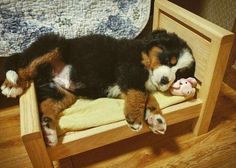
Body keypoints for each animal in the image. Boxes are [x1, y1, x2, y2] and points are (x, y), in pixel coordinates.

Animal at [0, 29, 195, 146]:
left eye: (179, 74)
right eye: (168, 59)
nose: (165, 80)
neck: (144, 59)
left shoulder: (125, 87)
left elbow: (149, 97)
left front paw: (156, 118)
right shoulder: (129, 70)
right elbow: (141, 95)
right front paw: (135, 119)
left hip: (62, 93)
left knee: (45, 105)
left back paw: (49, 131)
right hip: (54, 44)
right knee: (23, 66)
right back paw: (12, 85)